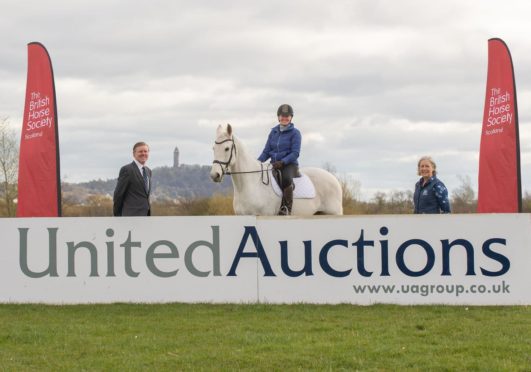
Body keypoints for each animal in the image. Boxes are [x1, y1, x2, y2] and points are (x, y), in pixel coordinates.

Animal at [212, 123, 344, 215]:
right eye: (213, 148)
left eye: (227, 148)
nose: (215, 175)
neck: (250, 185)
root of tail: (333, 179)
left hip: (333, 213)